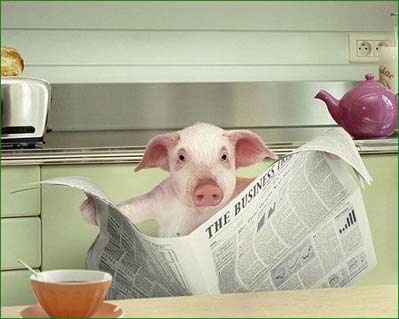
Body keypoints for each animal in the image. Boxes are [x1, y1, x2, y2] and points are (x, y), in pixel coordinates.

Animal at [79, 122, 276, 238]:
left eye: (224, 156)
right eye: (181, 157)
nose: (207, 187)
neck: (192, 214)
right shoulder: (159, 198)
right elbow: (134, 209)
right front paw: (89, 203)